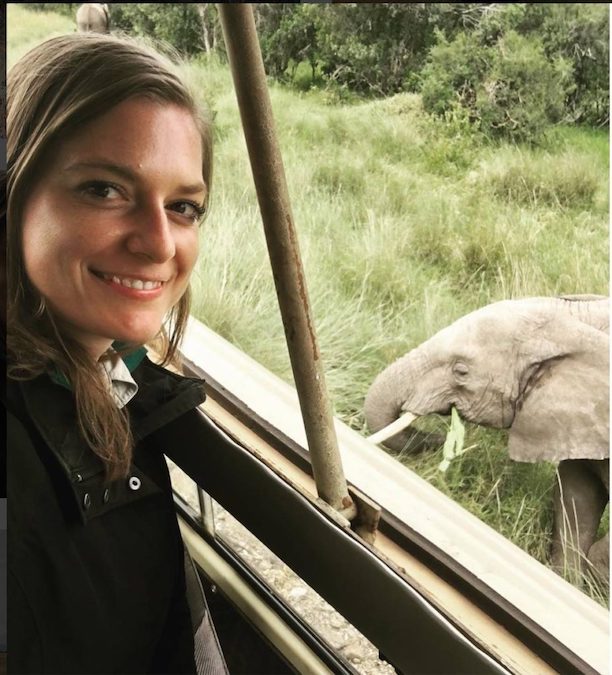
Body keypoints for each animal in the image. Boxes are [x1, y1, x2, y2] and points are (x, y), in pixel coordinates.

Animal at [366, 296, 608, 588]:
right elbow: (577, 496)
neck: (576, 320)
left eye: (461, 371)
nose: (439, 440)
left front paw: (590, 580)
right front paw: (568, 580)